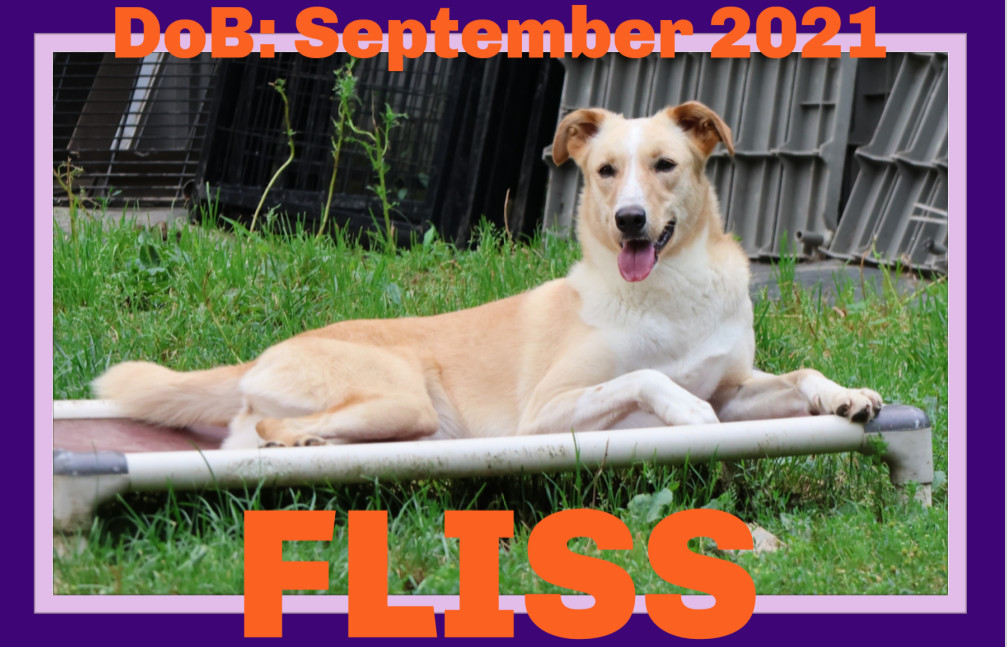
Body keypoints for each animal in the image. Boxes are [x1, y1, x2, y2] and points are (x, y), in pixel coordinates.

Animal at [94, 103, 882, 452]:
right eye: (605, 171)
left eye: (664, 165)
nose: (629, 221)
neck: (667, 294)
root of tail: (263, 353)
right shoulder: (547, 410)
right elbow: (645, 379)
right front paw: (684, 413)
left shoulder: (735, 386)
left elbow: (799, 375)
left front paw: (846, 394)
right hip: (399, 397)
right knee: (262, 429)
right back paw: (302, 446)